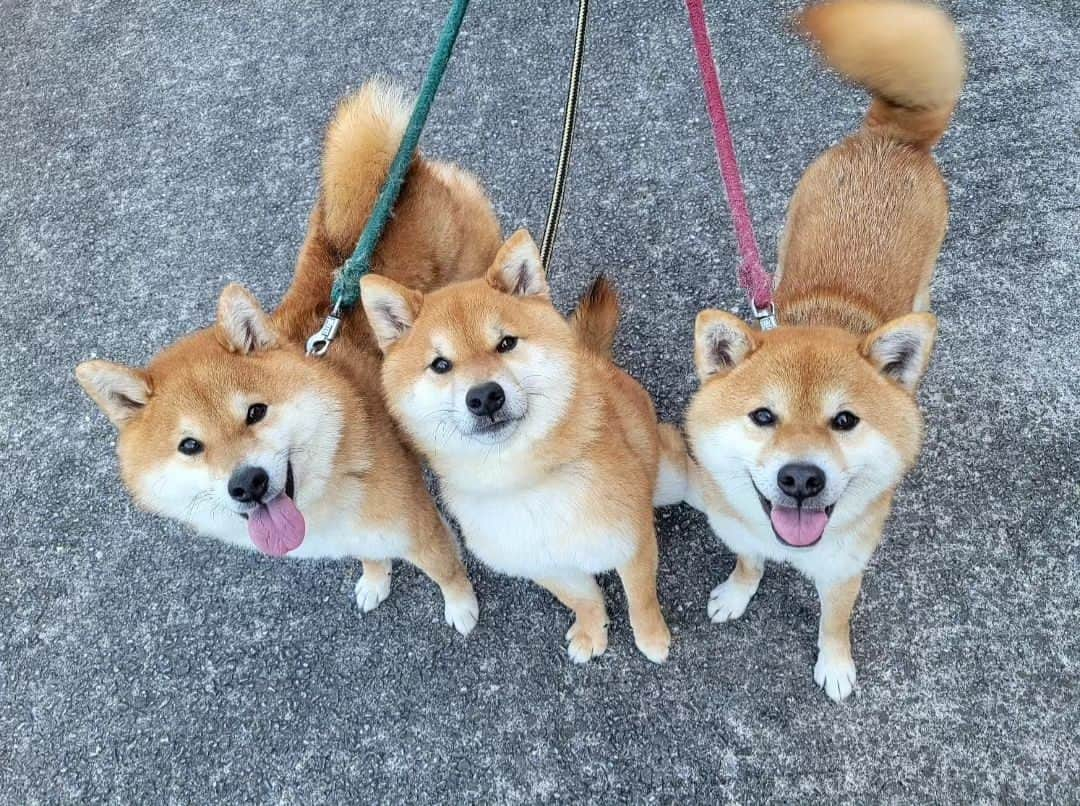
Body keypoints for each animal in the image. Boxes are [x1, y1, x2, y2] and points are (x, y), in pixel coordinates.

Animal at [73, 81, 503, 635]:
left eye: (255, 412)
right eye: (189, 446)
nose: (247, 483)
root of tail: (405, 171)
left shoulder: (418, 529)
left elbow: (447, 569)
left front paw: (462, 608)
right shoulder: (352, 536)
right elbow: (370, 556)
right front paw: (375, 580)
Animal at [358, 229, 686, 661]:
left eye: (506, 343)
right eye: (440, 365)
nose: (484, 397)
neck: (521, 481)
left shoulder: (631, 543)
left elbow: (641, 600)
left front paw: (651, 638)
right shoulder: (544, 565)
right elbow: (582, 600)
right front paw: (591, 630)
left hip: (666, 478)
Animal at [682, 0, 963, 695]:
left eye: (845, 421)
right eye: (763, 416)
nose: (801, 478)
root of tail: (892, 136)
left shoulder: (844, 570)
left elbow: (834, 624)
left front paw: (835, 667)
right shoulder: (740, 530)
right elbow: (749, 564)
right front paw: (736, 594)